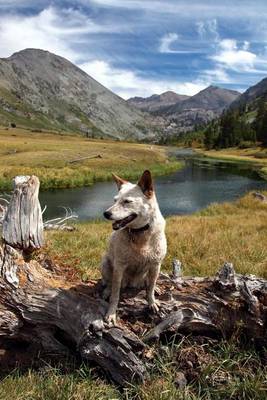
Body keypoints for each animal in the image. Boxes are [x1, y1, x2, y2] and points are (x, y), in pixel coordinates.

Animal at [101, 170, 166, 324]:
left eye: (127, 201)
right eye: (115, 200)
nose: (106, 214)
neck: (140, 234)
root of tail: (132, 283)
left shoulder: (156, 264)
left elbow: (150, 289)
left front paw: (152, 302)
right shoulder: (119, 267)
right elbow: (115, 294)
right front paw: (111, 313)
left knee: (149, 283)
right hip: (105, 263)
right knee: (108, 283)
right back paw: (107, 290)